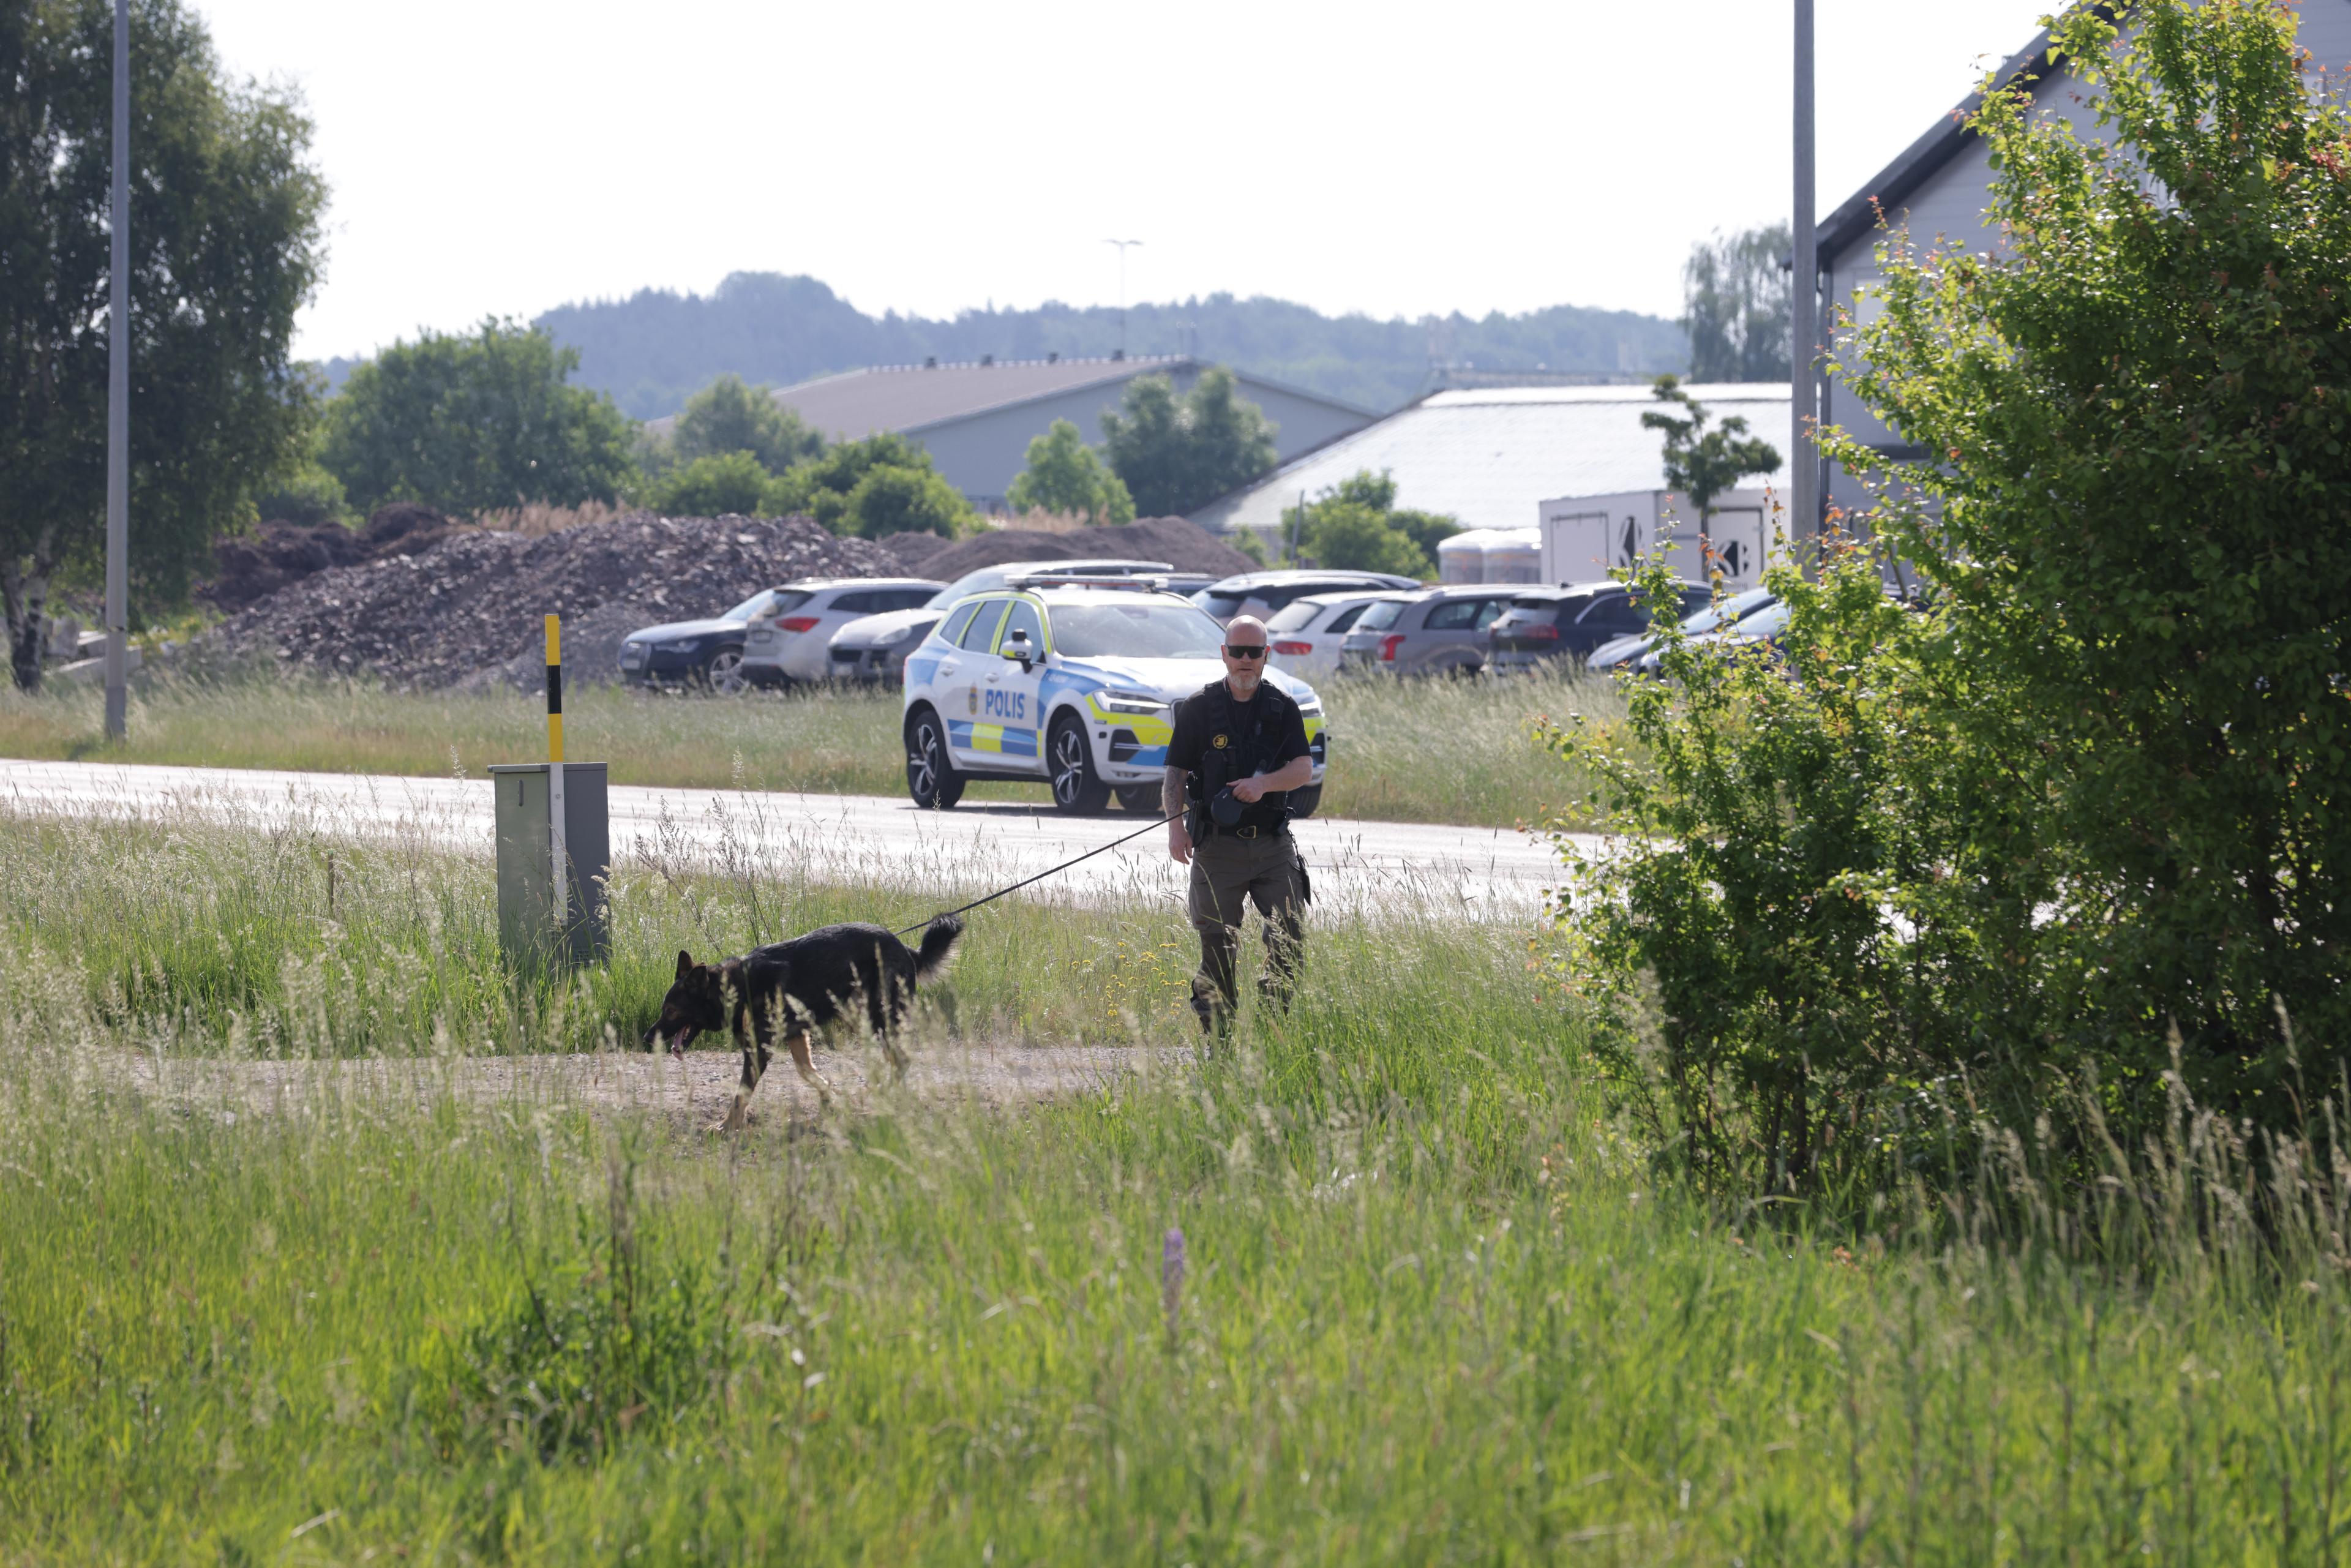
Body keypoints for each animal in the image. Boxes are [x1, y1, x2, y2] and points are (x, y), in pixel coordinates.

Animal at [639, 921, 959, 1128]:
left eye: (670, 1011)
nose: (647, 1038)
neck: (737, 988)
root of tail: (904, 947)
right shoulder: (797, 1036)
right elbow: (808, 1072)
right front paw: (830, 1097)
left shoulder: (759, 1050)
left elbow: (741, 1094)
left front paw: (726, 1126)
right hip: (857, 1015)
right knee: (897, 1059)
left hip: (873, 1016)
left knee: (901, 1059)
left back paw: (883, 1096)